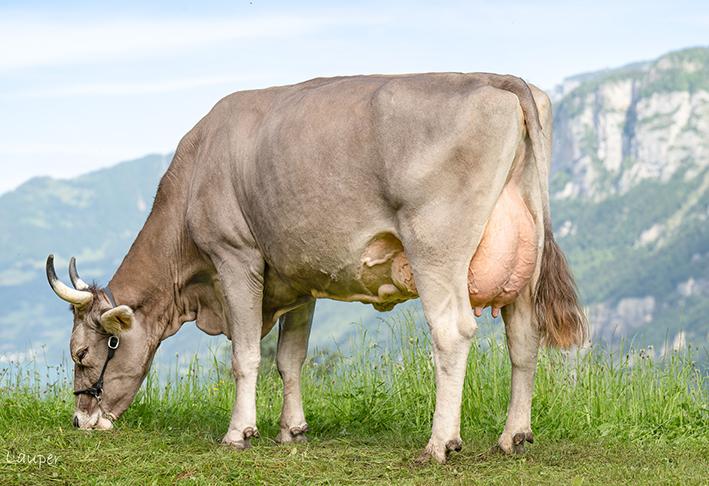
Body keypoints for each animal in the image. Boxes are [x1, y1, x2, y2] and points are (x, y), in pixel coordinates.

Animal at [46, 72, 586, 464]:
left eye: (81, 353)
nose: (79, 421)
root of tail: (499, 79)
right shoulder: (297, 279)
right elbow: (290, 359)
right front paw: (292, 430)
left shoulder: (236, 257)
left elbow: (246, 355)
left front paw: (239, 433)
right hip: (524, 263)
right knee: (524, 340)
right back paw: (513, 436)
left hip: (436, 248)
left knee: (452, 334)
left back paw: (439, 445)